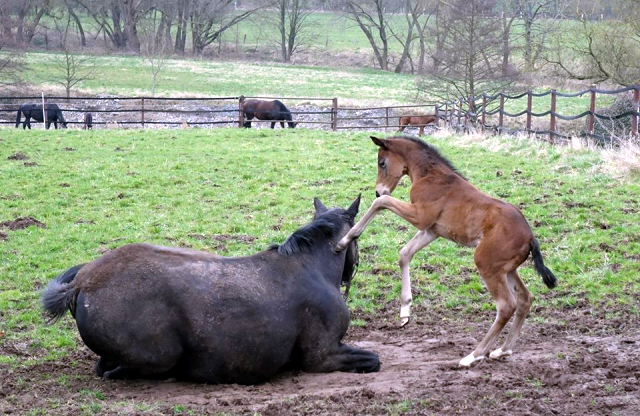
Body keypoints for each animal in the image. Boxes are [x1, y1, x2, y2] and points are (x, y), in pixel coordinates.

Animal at [336, 136, 556, 368]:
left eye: (382, 163)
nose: (379, 189)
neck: (430, 176)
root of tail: (530, 237)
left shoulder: (420, 216)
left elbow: (381, 203)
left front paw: (344, 240)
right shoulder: (431, 230)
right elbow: (405, 254)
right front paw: (405, 311)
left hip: (487, 265)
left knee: (506, 306)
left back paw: (474, 355)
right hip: (507, 269)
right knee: (525, 298)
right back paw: (502, 350)